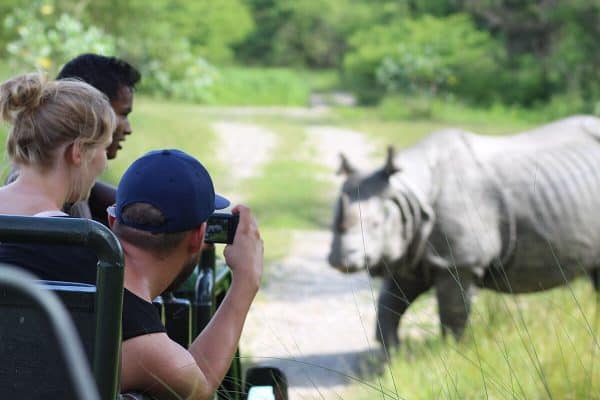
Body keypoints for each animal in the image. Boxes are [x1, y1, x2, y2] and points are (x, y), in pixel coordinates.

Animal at [328, 114, 600, 348]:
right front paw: (392, 353)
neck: (411, 190)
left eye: (376, 224)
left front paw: (452, 350)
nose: (340, 260)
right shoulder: (411, 251)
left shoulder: (459, 260)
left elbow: (452, 311)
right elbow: (390, 302)